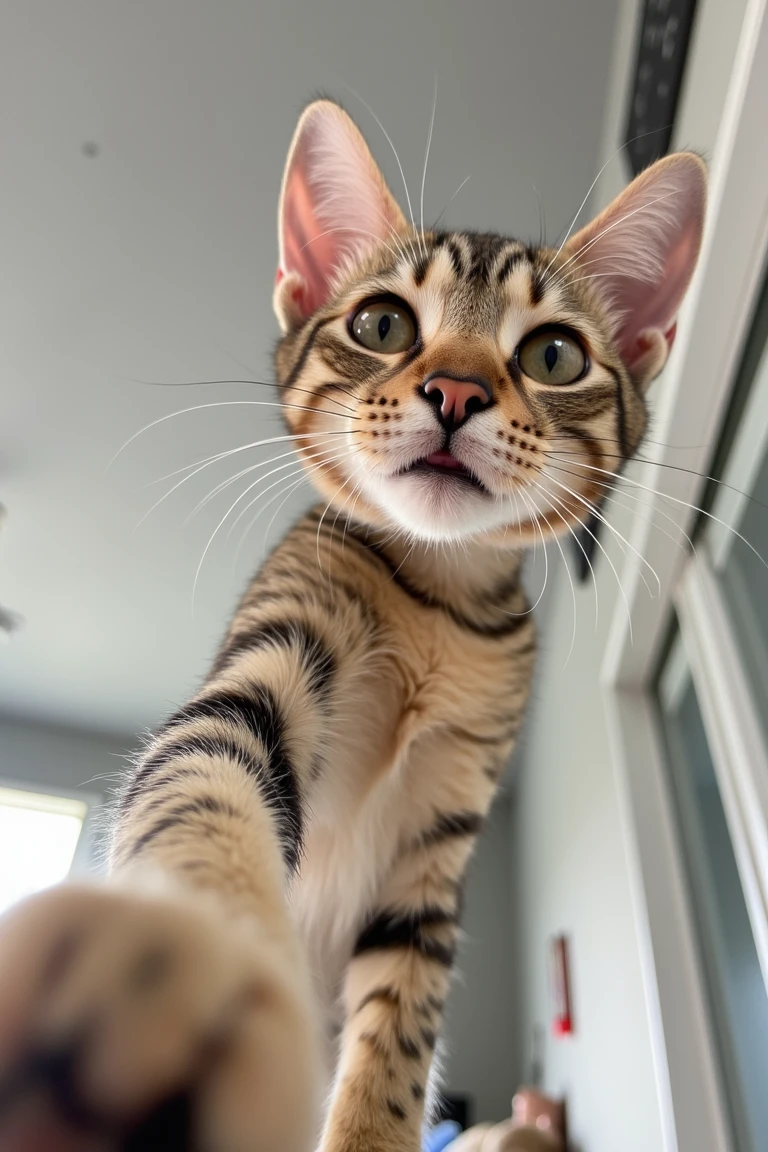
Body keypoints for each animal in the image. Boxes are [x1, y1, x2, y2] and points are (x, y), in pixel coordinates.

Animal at [0, 101, 709, 1152]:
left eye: (554, 354)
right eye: (382, 324)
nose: (456, 392)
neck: (440, 602)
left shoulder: (438, 847)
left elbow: (398, 1033)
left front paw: (371, 1119)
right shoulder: (265, 659)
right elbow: (202, 783)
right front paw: (185, 958)